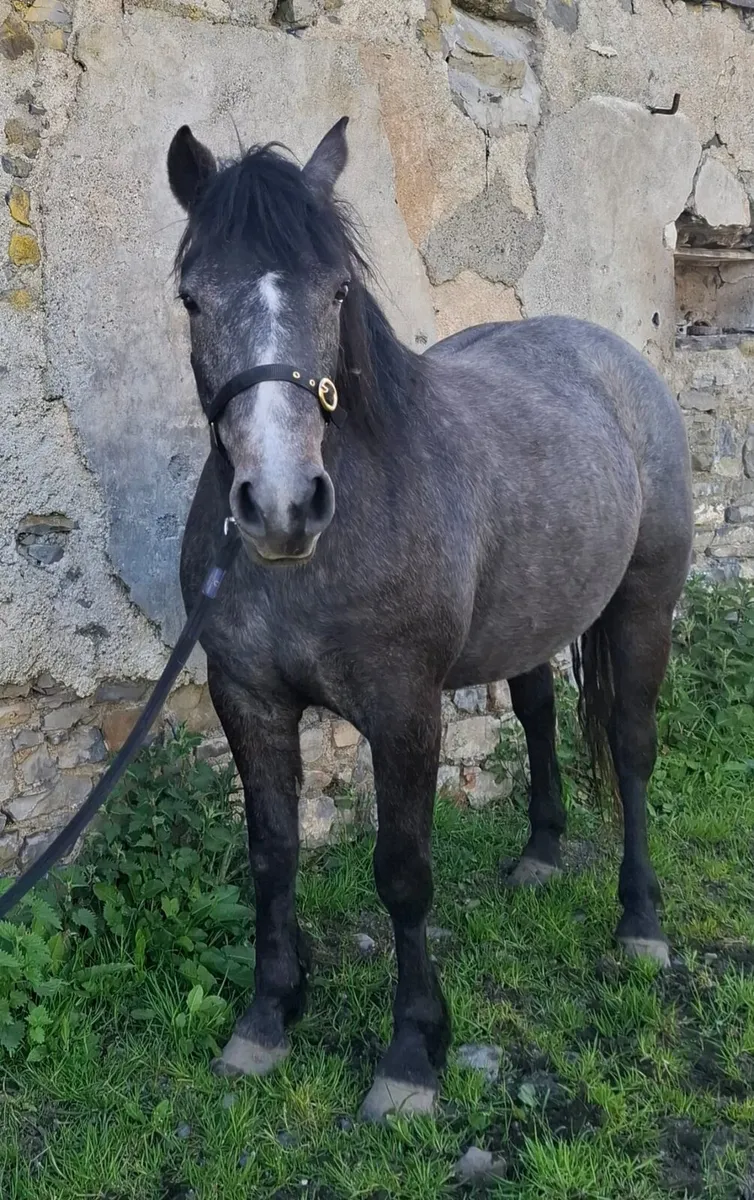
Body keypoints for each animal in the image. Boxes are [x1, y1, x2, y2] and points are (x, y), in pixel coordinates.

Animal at [167, 116, 693, 1120]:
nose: (282, 507)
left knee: (634, 748)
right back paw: (540, 854)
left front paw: (412, 1054)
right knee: (539, 717)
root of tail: (617, 363)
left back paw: (641, 920)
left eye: (338, 291)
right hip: (532, 622)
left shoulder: (404, 711)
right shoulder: (247, 698)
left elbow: (403, 873)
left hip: (644, 607)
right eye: (191, 298)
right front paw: (268, 1017)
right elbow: (272, 853)